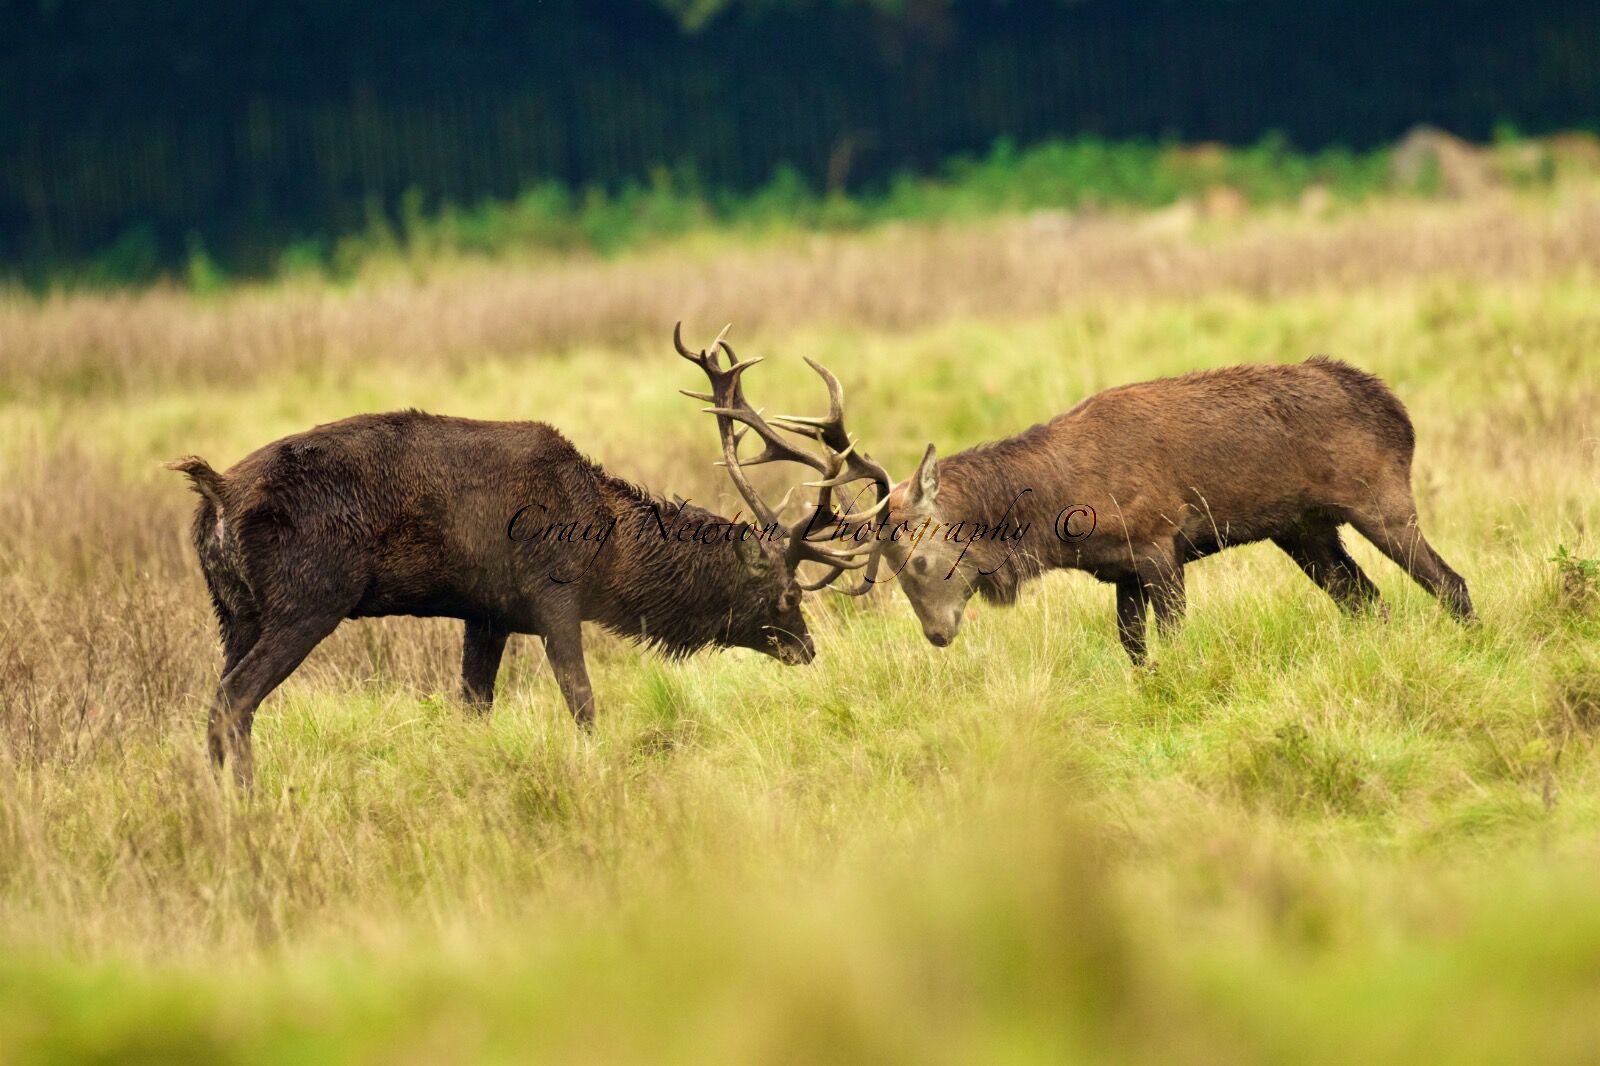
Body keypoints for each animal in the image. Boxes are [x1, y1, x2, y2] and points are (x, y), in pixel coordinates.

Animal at [167, 353, 876, 785]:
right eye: (787, 595)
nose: (808, 650)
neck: (608, 553)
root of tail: (216, 493)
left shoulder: (486, 614)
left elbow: (472, 706)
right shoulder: (552, 595)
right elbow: (583, 701)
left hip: (234, 610)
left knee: (219, 699)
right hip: (308, 598)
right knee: (234, 698)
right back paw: (249, 801)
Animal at [682, 338, 1476, 665]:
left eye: (922, 559)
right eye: (889, 571)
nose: (937, 634)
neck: (1060, 519)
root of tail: (1396, 408)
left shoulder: (1159, 541)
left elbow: (1174, 641)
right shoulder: (1119, 569)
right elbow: (1133, 650)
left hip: (1381, 496)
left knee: (1451, 583)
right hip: (1306, 531)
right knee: (1366, 601)